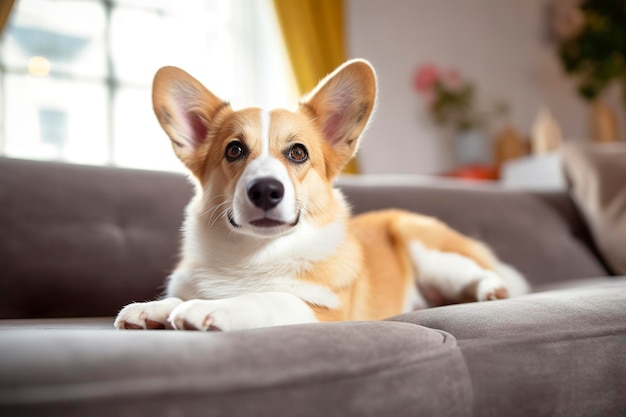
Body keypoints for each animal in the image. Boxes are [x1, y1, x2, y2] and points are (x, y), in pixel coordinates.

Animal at [113, 59, 528, 332]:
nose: (266, 190)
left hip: (426, 247)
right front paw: (153, 309)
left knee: (481, 273)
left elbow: (270, 297)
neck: (254, 256)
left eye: (298, 153)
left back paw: (492, 289)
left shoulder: (324, 312)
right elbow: (179, 297)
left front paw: (206, 309)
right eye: (234, 150)